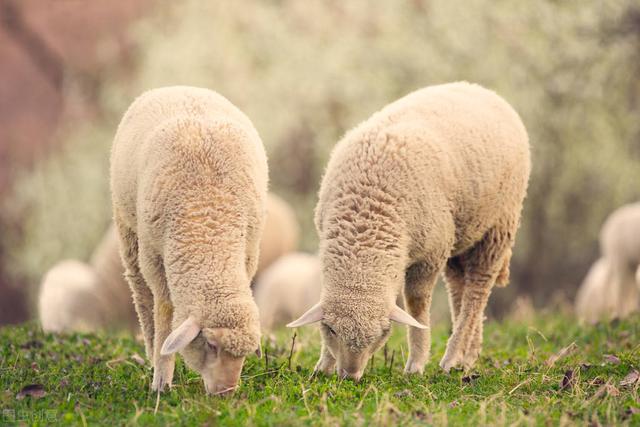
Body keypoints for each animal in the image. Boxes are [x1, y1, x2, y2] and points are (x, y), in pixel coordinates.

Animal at [111, 85, 266, 396]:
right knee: (142, 297)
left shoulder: (248, 253)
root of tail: (178, 87)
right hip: (128, 230)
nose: (225, 393)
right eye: (211, 344)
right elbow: (164, 314)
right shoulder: (156, 261)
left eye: (243, 354)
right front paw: (161, 379)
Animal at [288, 82, 528, 380]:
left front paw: (416, 363)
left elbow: (416, 305)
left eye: (383, 332)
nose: (350, 376)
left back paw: (452, 357)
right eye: (330, 329)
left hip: (498, 226)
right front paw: (324, 365)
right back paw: (468, 356)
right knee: (460, 289)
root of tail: (480, 88)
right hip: (461, 232)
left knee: (477, 291)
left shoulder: (430, 255)